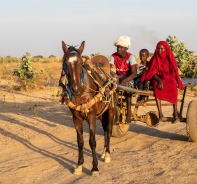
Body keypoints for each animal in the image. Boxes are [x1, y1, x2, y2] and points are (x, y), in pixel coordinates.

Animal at [61, 40, 117, 175]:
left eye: (81, 62)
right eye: (65, 62)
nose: (75, 88)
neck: (81, 94)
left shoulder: (91, 117)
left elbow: (92, 141)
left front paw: (94, 167)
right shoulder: (76, 118)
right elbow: (80, 142)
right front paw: (79, 165)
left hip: (110, 110)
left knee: (109, 130)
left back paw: (107, 154)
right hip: (101, 114)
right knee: (105, 129)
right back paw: (104, 152)